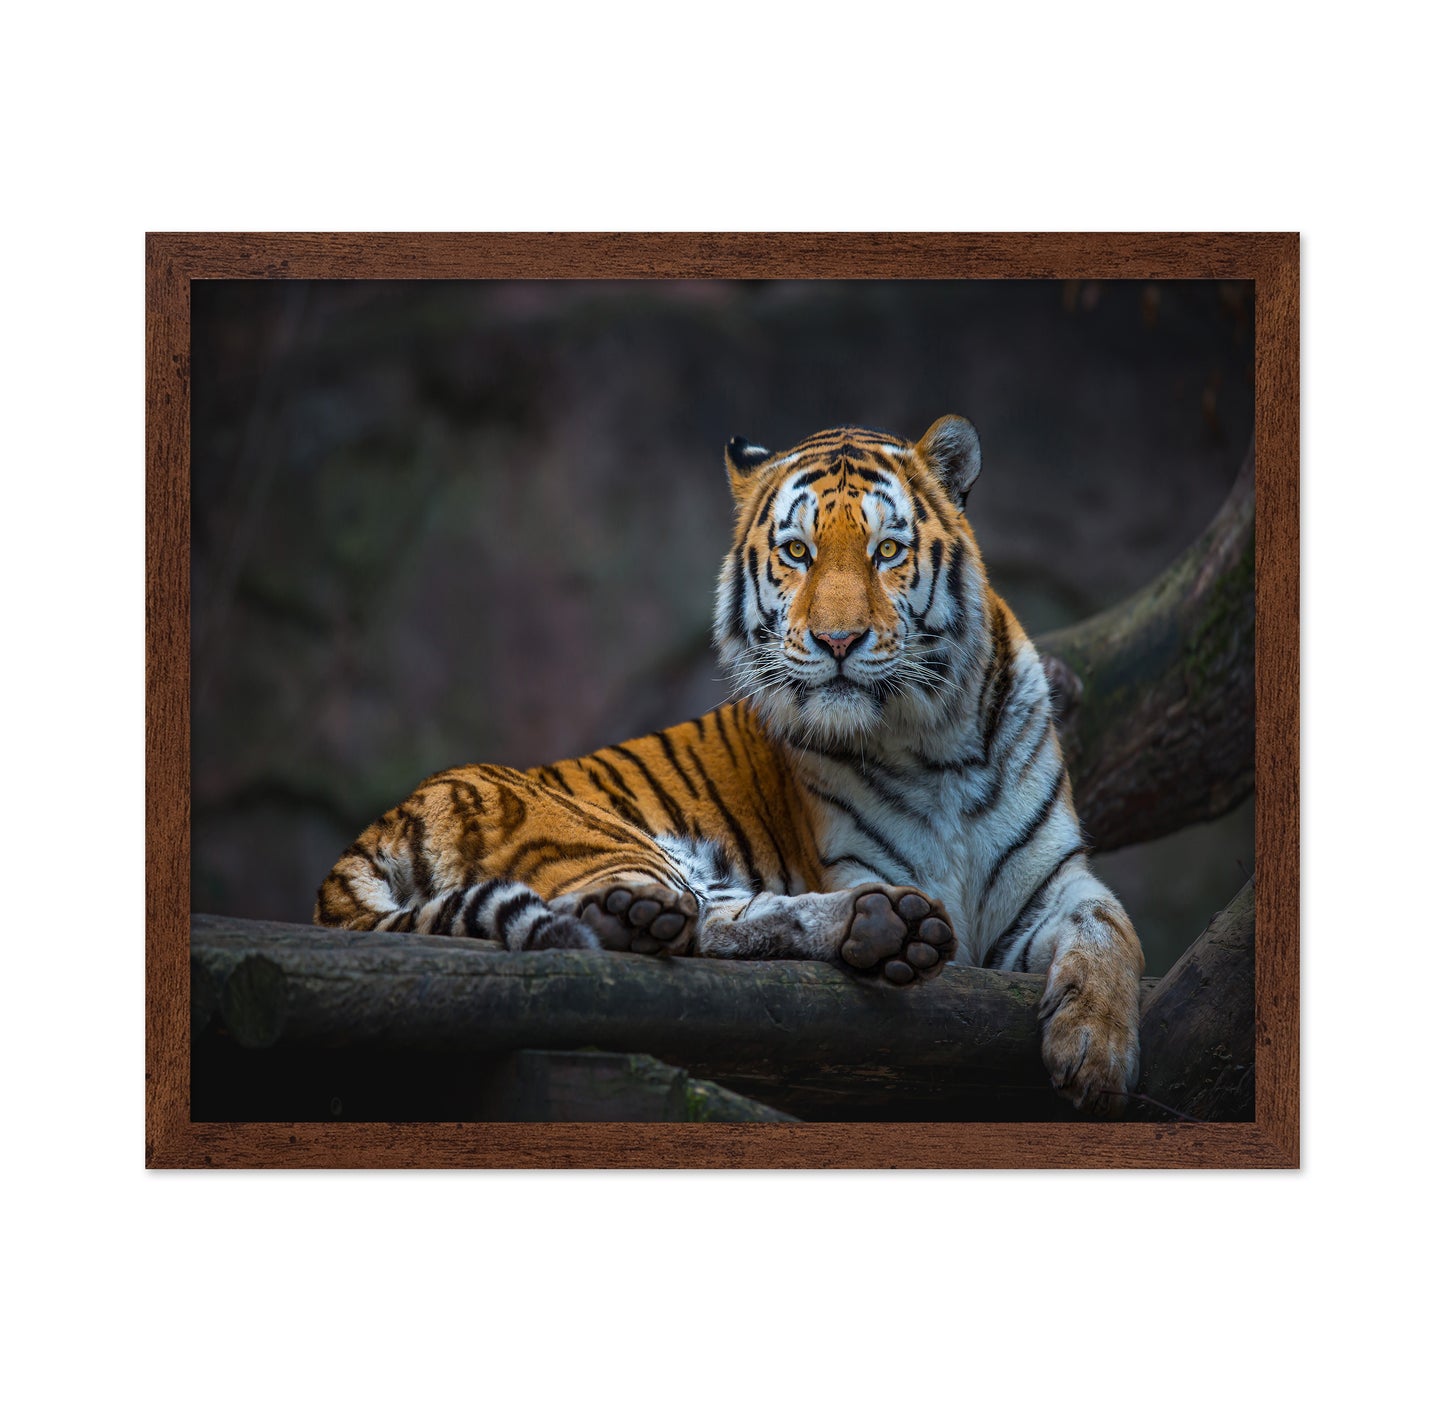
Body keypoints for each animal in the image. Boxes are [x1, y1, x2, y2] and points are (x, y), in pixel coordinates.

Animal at [315, 416, 1145, 1114]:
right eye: (797, 552)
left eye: (886, 551)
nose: (837, 641)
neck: (934, 739)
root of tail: (383, 823)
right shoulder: (862, 861)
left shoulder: (1052, 885)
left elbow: (1112, 930)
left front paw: (1095, 1054)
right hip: (604, 836)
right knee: (668, 923)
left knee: (729, 918)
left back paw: (884, 927)